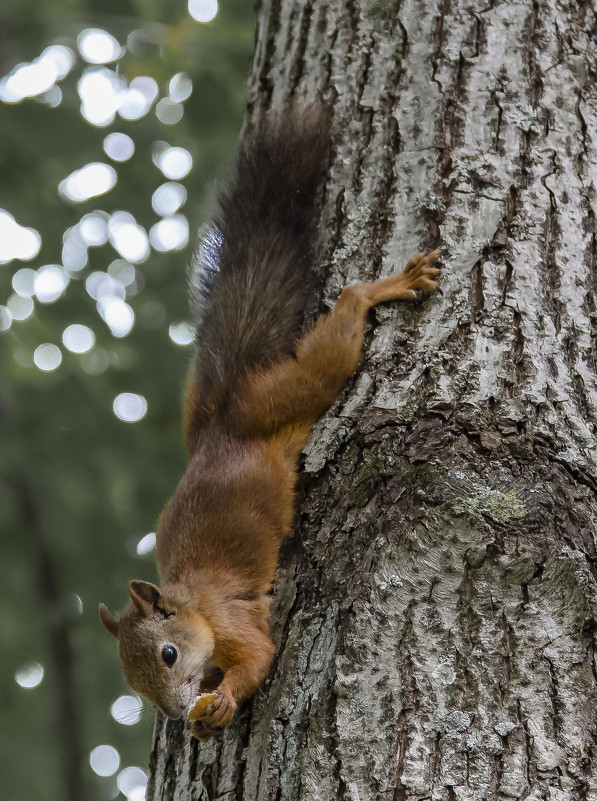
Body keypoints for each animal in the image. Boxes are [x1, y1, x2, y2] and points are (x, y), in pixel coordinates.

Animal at [100, 103, 440, 740]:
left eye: (168, 654)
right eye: (132, 683)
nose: (175, 713)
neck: (192, 602)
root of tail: (221, 422)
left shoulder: (231, 616)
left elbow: (259, 656)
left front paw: (224, 700)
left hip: (289, 393)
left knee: (342, 323)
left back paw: (385, 287)